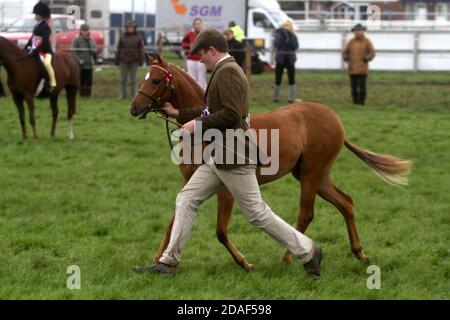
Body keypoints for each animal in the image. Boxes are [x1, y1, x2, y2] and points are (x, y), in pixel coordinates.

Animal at [127, 54, 412, 270]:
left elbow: (220, 230)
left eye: (155, 80)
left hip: (311, 174)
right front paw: (159, 259)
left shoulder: (225, 188)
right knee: (346, 203)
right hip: (316, 175)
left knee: (306, 214)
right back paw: (359, 252)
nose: (134, 108)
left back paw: (291, 258)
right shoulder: (190, 181)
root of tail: (335, 119)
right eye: (145, 78)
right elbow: (174, 219)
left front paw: (244, 263)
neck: (203, 129)